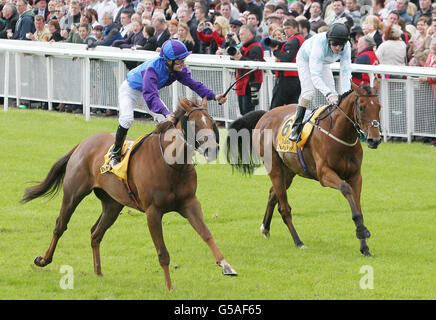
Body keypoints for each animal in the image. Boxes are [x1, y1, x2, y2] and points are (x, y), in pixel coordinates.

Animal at [21, 97, 237, 290]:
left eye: (211, 122)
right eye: (193, 124)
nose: (212, 149)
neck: (172, 164)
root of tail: (83, 143)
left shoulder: (189, 203)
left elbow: (206, 234)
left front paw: (226, 265)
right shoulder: (153, 212)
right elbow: (163, 253)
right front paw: (169, 287)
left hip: (113, 204)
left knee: (96, 233)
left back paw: (98, 272)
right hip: (73, 193)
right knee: (60, 226)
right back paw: (43, 259)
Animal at [228, 82, 382, 258]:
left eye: (379, 107)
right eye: (362, 107)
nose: (374, 140)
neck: (339, 134)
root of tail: (266, 114)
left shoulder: (356, 176)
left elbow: (357, 206)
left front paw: (365, 246)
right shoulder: (324, 174)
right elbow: (346, 189)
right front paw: (362, 231)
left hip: (289, 170)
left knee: (273, 193)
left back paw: (265, 228)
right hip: (274, 167)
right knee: (284, 207)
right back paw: (298, 241)